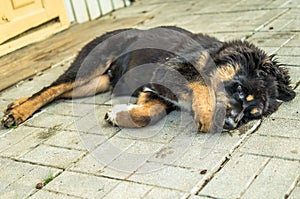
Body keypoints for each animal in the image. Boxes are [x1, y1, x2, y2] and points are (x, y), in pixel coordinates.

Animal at [0, 26, 296, 132]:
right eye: (238, 88)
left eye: (253, 114)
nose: (232, 124)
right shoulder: (169, 70)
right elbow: (201, 83)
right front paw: (209, 115)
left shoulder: (155, 91)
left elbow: (149, 114)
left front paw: (118, 116)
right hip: (88, 69)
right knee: (48, 89)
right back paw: (17, 112)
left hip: (91, 85)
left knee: (55, 92)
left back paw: (15, 105)